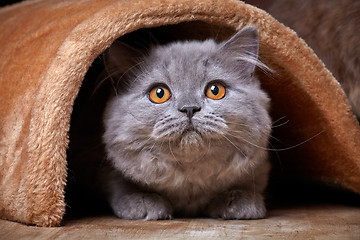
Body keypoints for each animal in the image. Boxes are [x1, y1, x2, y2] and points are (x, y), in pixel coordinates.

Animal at [100, 25, 272, 219]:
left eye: (215, 90)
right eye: (159, 93)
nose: (189, 108)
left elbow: (246, 185)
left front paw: (240, 201)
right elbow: (121, 184)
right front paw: (143, 201)